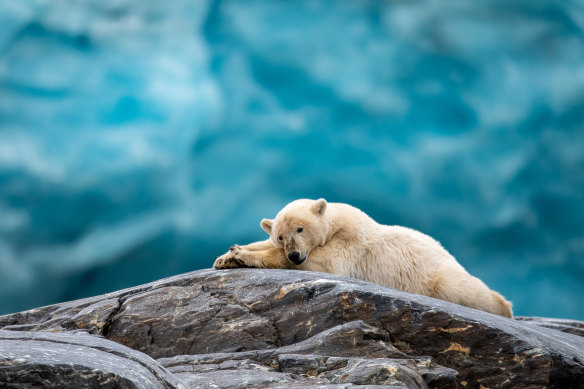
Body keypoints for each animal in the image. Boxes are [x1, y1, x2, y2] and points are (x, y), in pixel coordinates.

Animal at [213, 199, 512, 316]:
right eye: (280, 236)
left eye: (300, 229)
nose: (296, 254)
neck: (338, 222)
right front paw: (227, 256)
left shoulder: (351, 245)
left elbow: (325, 263)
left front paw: (240, 254)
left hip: (438, 275)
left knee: (462, 288)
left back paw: (503, 307)